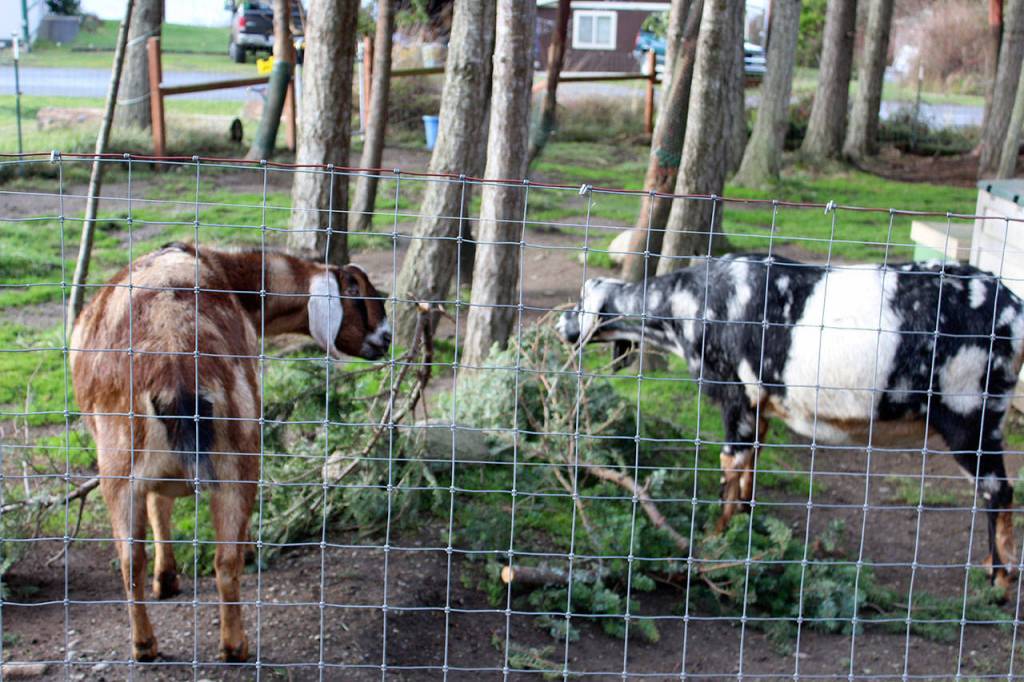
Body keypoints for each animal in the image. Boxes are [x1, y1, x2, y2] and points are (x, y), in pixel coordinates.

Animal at [69, 242, 390, 661]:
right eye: (354, 289)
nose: (386, 338)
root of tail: (174, 364)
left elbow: (159, 507)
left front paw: (166, 579)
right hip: (238, 452)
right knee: (225, 559)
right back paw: (235, 645)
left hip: (121, 463)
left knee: (133, 560)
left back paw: (147, 645)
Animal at [558, 254, 1024, 593]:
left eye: (581, 302)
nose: (562, 324)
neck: (686, 305)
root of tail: (1015, 313)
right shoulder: (761, 404)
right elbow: (751, 462)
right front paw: (745, 523)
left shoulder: (735, 394)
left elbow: (730, 463)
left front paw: (714, 541)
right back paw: (993, 565)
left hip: (969, 413)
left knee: (998, 489)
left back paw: (1000, 579)